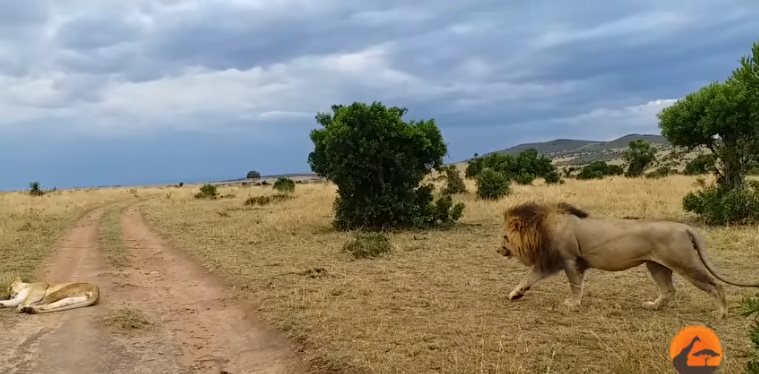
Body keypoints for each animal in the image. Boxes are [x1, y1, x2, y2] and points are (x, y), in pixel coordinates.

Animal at [498, 202, 759, 318]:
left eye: (505, 237)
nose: (498, 250)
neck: (541, 227)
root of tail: (685, 227)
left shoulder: (569, 260)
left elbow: (574, 285)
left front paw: (573, 304)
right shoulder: (552, 261)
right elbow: (528, 277)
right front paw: (515, 294)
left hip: (685, 263)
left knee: (716, 286)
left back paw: (721, 313)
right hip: (656, 266)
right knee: (669, 290)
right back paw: (652, 306)